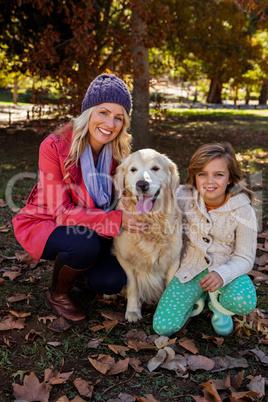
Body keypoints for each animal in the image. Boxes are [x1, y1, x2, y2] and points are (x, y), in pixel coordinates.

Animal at [113, 149, 182, 322]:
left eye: (155, 168)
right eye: (133, 169)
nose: (142, 185)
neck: (151, 221)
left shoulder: (174, 260)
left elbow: (169, 288)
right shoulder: (124, 259)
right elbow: (133, 287)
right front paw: (133, 310)